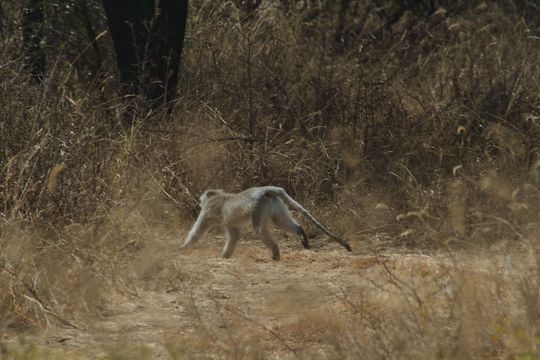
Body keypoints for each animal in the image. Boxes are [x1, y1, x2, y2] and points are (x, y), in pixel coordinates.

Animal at [181, 187, 350, 260]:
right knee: (280, 221)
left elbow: (196, 233)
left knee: (259, 229)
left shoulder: (207, 212)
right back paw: (301, 232)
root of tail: (264, 190)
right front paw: (225, 256)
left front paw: (183, 248)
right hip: (274, 204)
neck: (217, 196)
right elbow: (234, 234)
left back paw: (275, 251)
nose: (200, 202)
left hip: (258, 206)